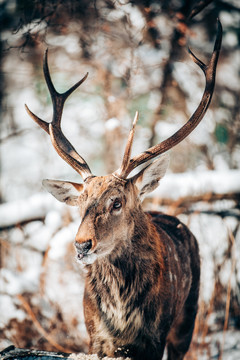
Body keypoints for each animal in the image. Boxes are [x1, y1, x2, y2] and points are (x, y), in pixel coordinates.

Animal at [25, 21, 222, 358]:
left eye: (116, 203)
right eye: (80, 205)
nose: (82, 244)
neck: (121, 316)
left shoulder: (154, 338)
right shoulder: (95, 336)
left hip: (189, 315)